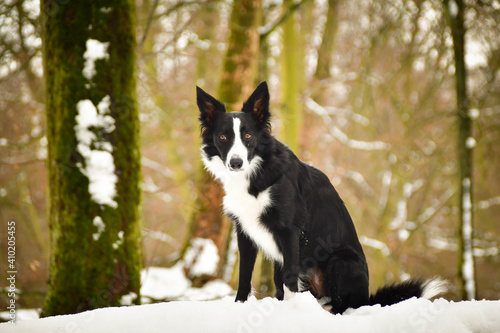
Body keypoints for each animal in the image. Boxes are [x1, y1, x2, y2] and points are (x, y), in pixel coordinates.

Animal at [195, 81, 446, 314]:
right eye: (223, 136)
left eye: (248, 135)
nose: (236, 163)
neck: (257, 172)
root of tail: (366, 298)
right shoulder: (244, 231)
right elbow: (244, 276)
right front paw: (239, 306)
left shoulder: (289, 230)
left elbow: (290, 278)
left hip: (341, 261)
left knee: (342, 305)